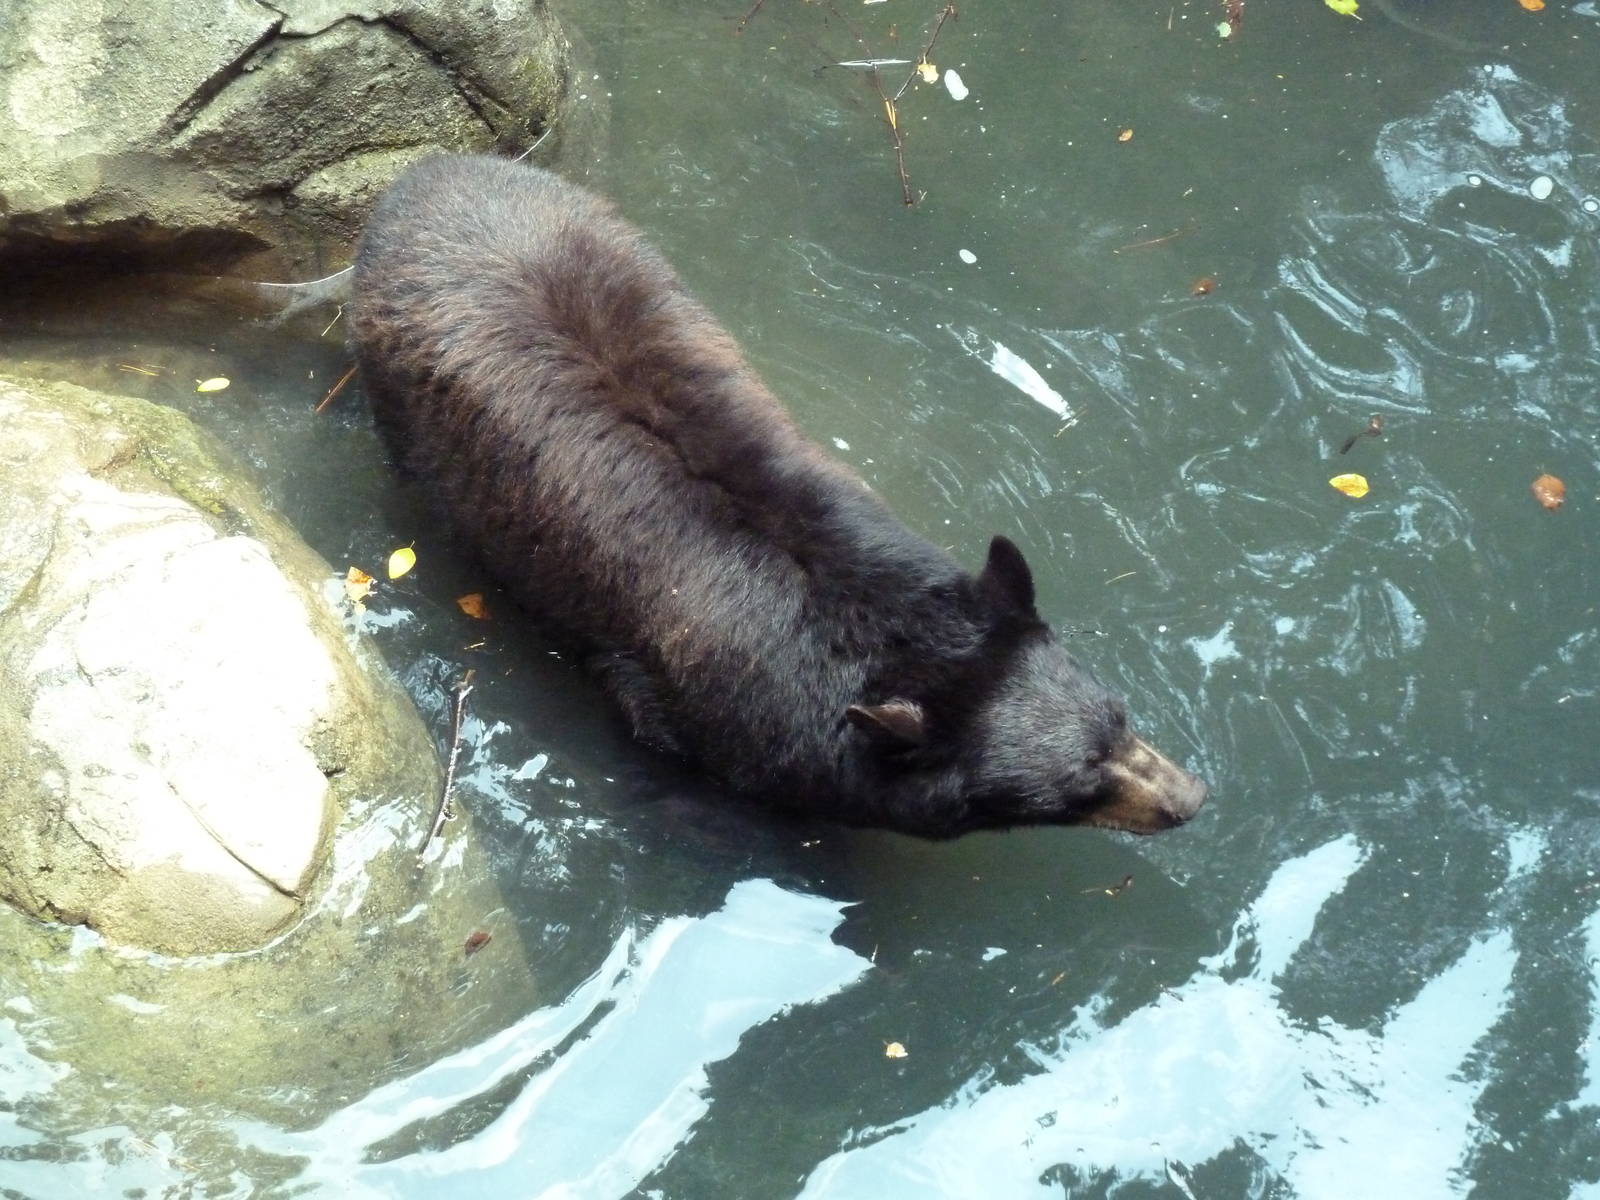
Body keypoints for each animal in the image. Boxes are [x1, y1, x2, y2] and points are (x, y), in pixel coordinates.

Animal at [349, 154, 1206, 839]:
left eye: (1118, 719)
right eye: (1075, 787)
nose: (1190, 797)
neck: (866, 617)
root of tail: (423, 171)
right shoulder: (691, 710)